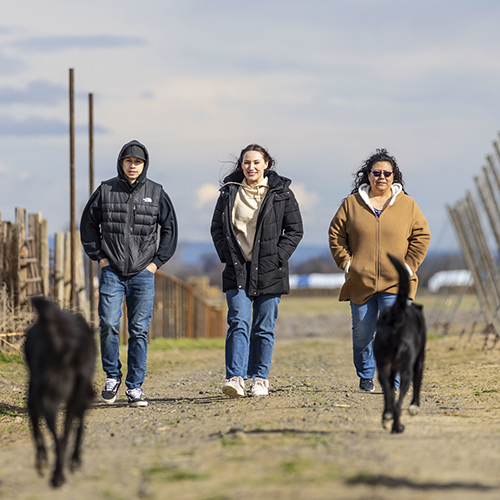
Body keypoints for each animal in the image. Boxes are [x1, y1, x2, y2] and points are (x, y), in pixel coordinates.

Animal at [24, 296, 96, 488]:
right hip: (78, 398)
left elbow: (37, 433)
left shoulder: (33, 398)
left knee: (58, 436)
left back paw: (56, 475)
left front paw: (41, 461)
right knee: (70, 432)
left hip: (49, 399)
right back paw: (69, 466)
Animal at [374, 254, 428, 434]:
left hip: (383, 368)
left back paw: (387, 417)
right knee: (398, 405)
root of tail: (396, 314)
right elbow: (417, 385)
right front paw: (414, 407)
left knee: (389, 397)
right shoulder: (419, 362)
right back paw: (398, 426)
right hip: (406, 370)